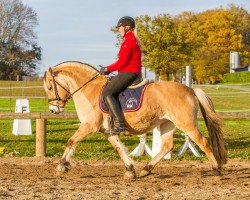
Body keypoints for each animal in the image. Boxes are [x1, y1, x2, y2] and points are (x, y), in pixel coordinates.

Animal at [43, 61, 227, 180]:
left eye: (50, 87)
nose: (54, 110)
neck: (89, 89)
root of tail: (190, 89)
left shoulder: (89, 126)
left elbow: (71, 141)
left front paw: (62, 165)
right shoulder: (107, 131)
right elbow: (120, 149)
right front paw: (131, 170)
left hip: (186, 124)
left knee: (203, 142)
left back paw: (216, 169)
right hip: (167, 124)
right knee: (167, 146)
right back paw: (146, 169)